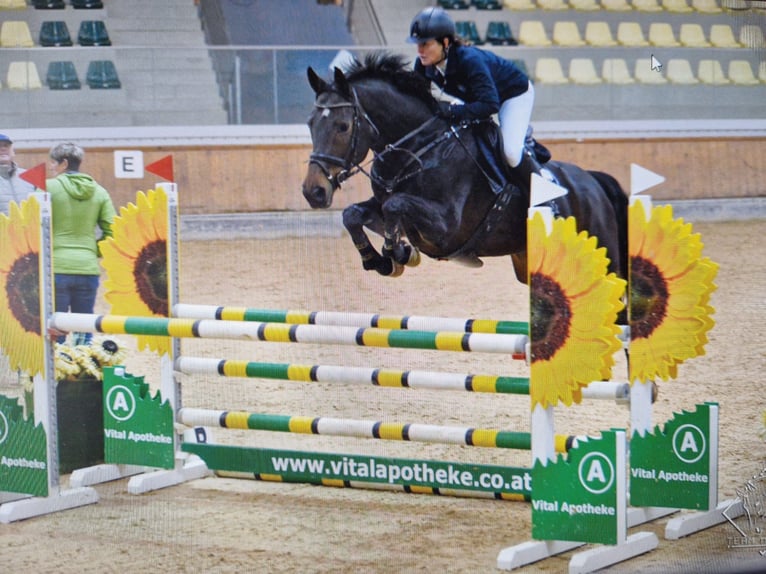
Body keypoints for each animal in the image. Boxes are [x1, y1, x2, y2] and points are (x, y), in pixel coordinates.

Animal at [301, 53, 628, 288]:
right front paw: (382, 259)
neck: (419, 150)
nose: (313, 192)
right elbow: (352, 214)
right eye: (310, 123)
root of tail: (593, 182)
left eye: (343, 126)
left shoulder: (446, 224)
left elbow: (396, 205)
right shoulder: (381, 205)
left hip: (605, 255)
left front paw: (398, 252)